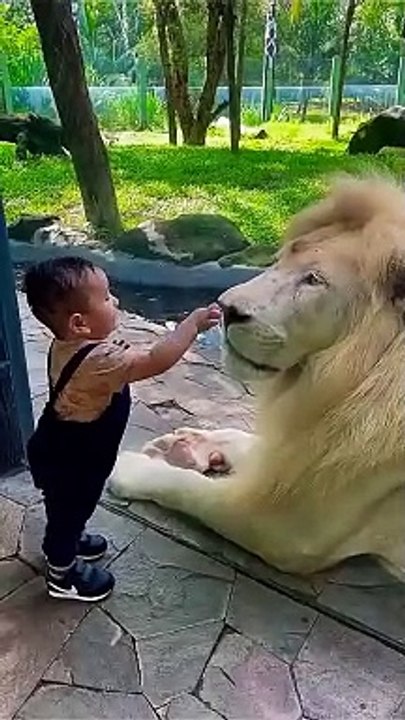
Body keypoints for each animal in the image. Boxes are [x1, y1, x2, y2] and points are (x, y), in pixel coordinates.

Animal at [109, 176, 405, 581]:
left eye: (313, 280)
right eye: (281, 259)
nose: (225, 308)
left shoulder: (283, 530)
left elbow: (190, 489)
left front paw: (130, 468)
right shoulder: (305, 451)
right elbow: (255, 446)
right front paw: (189, 444)